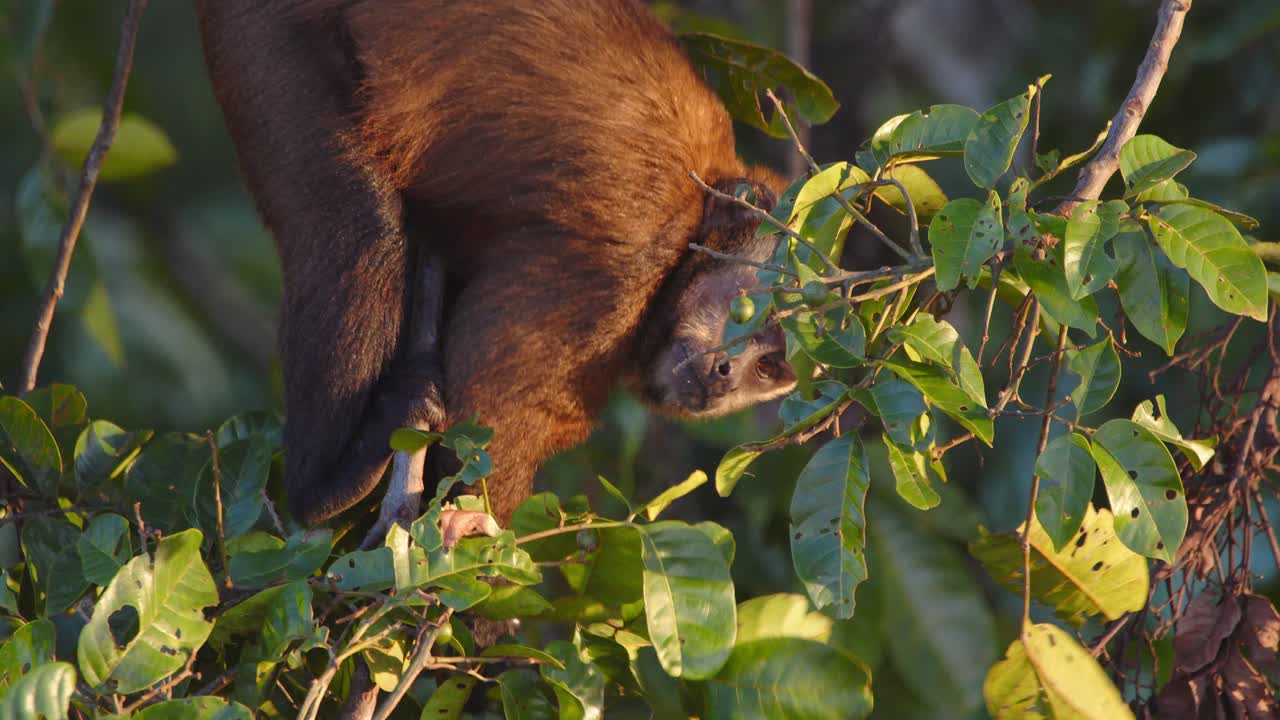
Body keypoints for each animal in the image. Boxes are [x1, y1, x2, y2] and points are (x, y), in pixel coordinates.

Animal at [196, 0, 798, 528]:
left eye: (767, 369)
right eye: (748, 315)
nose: (726, 379)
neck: (700, 212)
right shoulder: (632, 253)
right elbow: (487, 407)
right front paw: (466, 526)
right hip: (263, 29)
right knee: (358, 224)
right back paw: (323, 489)